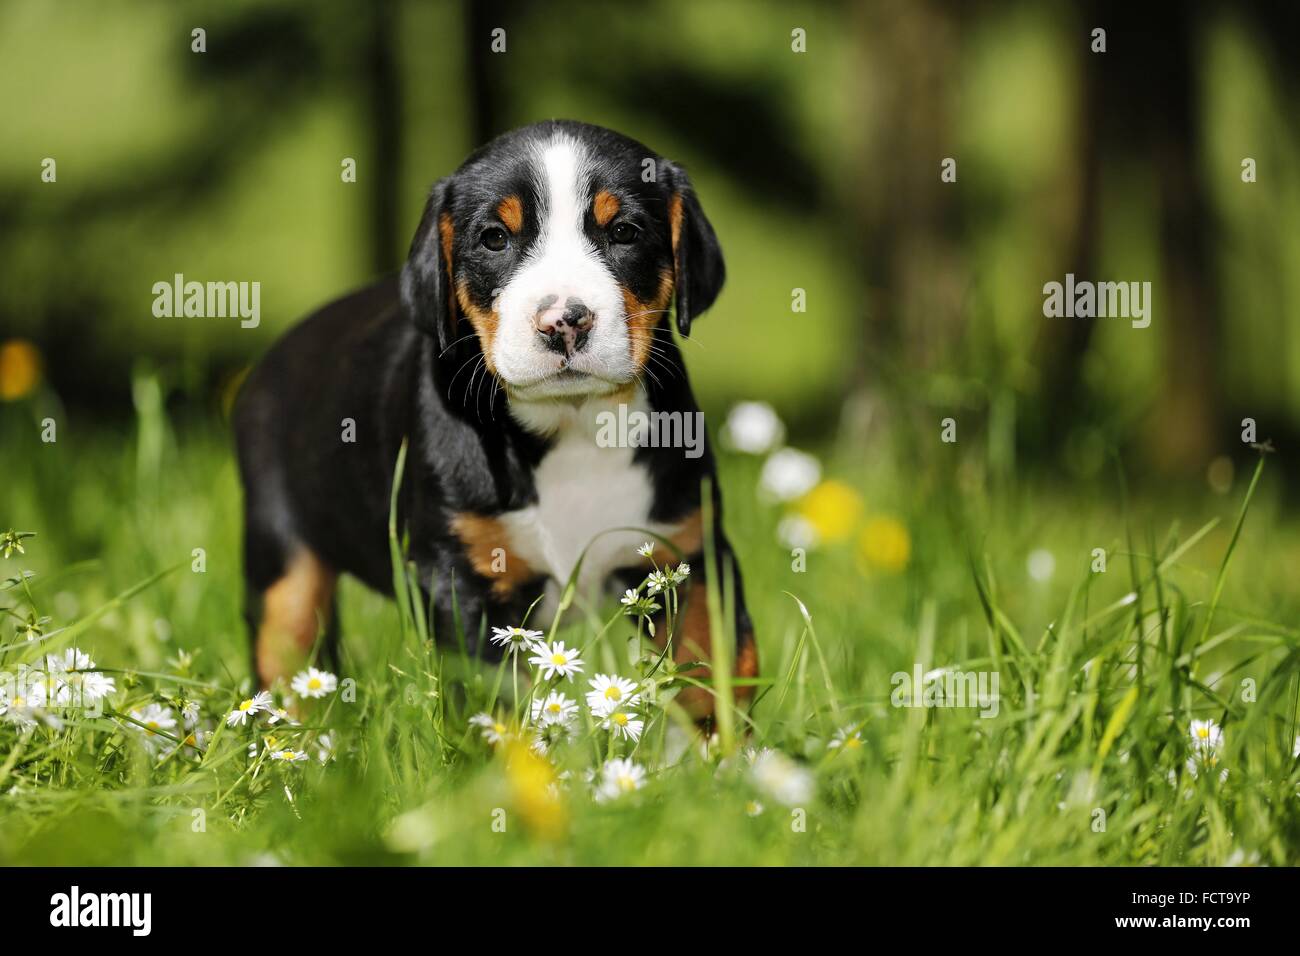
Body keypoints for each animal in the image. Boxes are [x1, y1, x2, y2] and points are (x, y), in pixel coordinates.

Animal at [239, 119, 759, 717]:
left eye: (625, 232)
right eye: (493, 239)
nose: (564, 321)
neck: (573, 427)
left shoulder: (688, 554)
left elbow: (718, 673)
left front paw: (722, 743)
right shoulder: (461, 581)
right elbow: (500, 708)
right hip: (281, 563)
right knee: (285, 652)